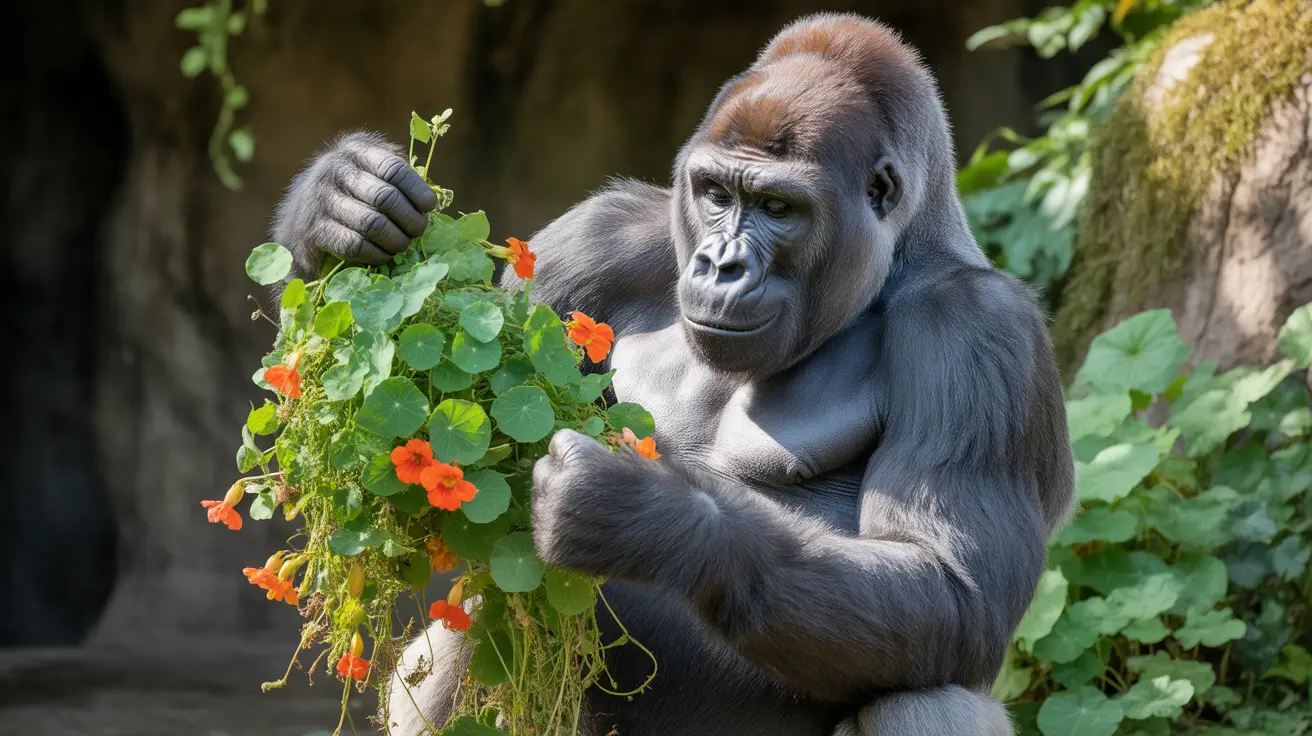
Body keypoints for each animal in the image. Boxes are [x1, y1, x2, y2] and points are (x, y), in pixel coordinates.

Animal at [271, 13, 1074, 736]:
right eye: (716, 193)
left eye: (779, 207)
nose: (719, 265)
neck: (897, 257)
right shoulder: (598, 234)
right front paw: (335, 206)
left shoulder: (980, 334)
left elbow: (953, 591)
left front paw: (652, 514)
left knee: (925, 692)